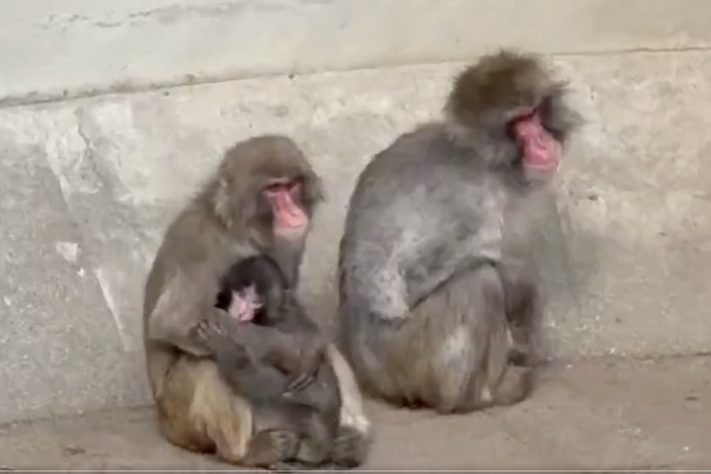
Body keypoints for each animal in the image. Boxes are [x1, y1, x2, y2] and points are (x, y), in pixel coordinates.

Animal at [142, 135, 371, 470]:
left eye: (292, 186)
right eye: (273, 190)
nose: (293, 212)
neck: (236, 230)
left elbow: (290, 304)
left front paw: (310, 346)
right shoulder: (201, 251)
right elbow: (175, 322)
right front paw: (295, 351)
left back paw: (346, 442)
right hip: (180, 419)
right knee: (205, 361)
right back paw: (247, 453)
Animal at [337, 50, 582, 413]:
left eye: (536, 114)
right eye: (518, 124)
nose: (542, 141)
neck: (486, 162)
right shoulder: (470, 203)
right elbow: (398, 280)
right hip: (410, 358)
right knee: (479, 281)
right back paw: (478, 395)